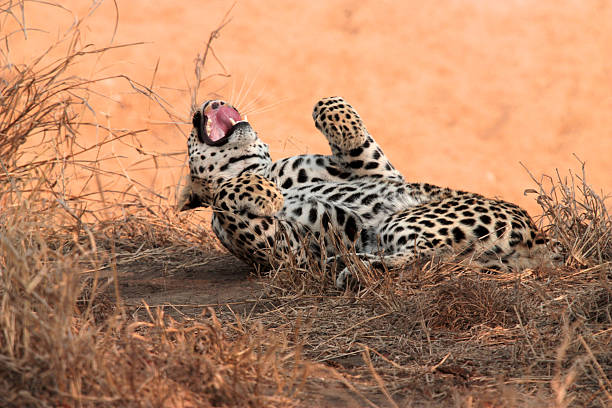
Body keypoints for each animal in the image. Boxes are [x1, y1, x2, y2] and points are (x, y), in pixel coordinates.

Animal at [177, 96, 560, 288]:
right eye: (195, 123)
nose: (211, 101)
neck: (257, 168)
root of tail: (538, 240)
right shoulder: (284, 248)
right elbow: (223, 196)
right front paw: (266, 195)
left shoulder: (382, 172)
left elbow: (342, 123)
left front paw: (340, 121)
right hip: (406, 223)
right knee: (424, 259)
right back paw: (351, 268)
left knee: (427, 257)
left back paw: (351, 266)